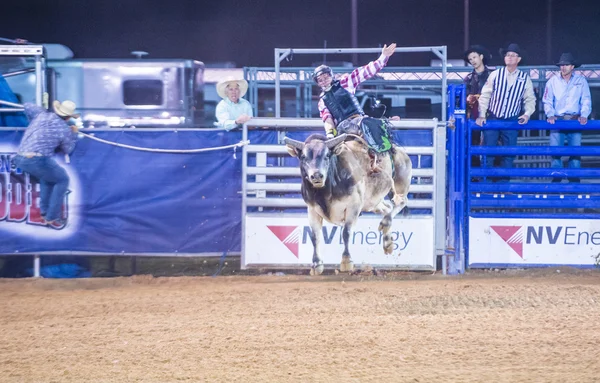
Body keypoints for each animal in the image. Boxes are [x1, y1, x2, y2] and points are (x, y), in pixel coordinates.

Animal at [284, 134, 410, 274]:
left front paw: (346, 261)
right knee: (387, 208)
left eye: (327, 155)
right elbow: (315, 236)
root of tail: (400, 152)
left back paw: (386, 225)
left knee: (401, 202)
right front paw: (316, 264)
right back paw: (388, 242)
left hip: (400, 186)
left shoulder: (353, 206)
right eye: (303, 157)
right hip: (373, 203)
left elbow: (346, 232)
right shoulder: (312, 209)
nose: (317, 176)